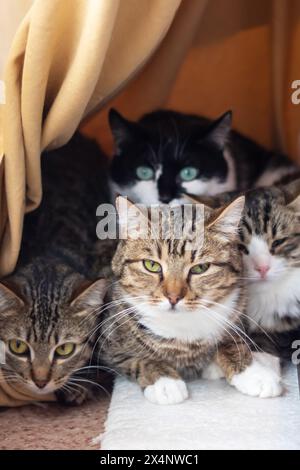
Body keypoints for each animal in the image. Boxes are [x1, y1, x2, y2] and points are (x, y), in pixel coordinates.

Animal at [99, 195, 282, 404]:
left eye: (200, 268)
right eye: (151, 265)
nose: (173, 297)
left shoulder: (235, 312)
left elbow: (231, 343)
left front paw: (254, 373)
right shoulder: (108, 342)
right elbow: (138, 358)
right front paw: (164, 381)